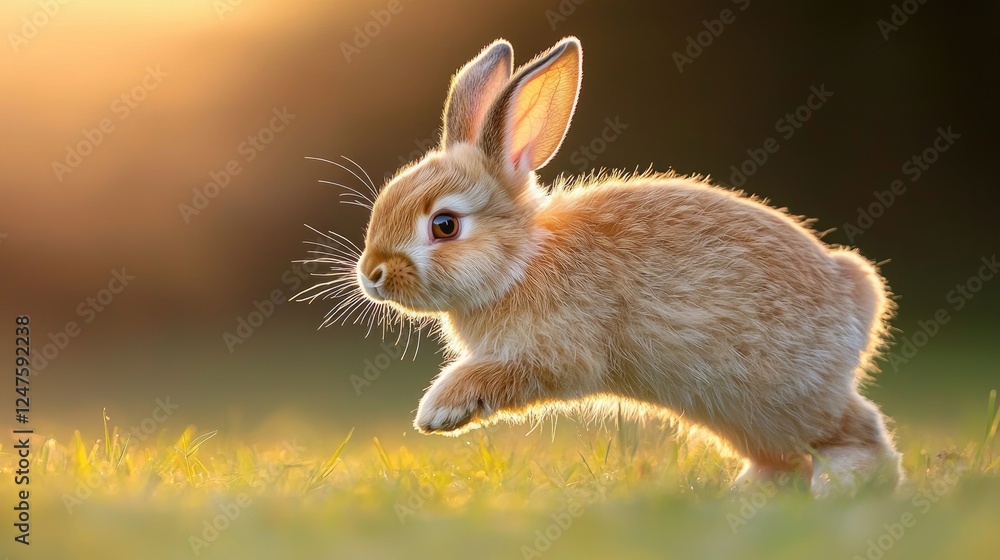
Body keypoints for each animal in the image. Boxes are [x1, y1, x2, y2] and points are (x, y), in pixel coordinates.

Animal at [318, 36, 904, 497]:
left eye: (444, 225)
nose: (371, 274)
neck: (521, 260)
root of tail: (858, 294)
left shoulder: (554, 353)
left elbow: (502, 373)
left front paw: (438, 412)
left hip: (786, 398)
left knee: (859, 431)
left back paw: (841, 485)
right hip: (744, 416)